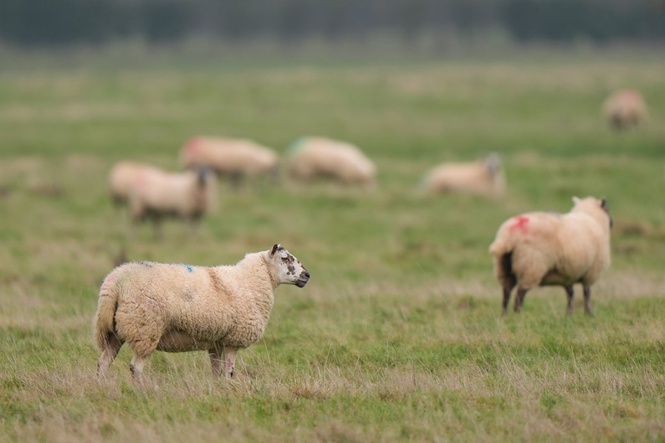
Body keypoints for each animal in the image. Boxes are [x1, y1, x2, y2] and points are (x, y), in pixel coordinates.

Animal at [94, 244, 310, 383]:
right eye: (285, 258)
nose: (307, 275)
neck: (249, 281)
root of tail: (114, 282)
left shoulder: (217, 342)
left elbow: (217, 372)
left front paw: (217, 392)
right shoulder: (233, 340)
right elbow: (229, 372)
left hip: (114, 331)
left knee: (103, 363)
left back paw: (103, 389)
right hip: (145, 328)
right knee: (135, 367)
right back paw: (144, 392)